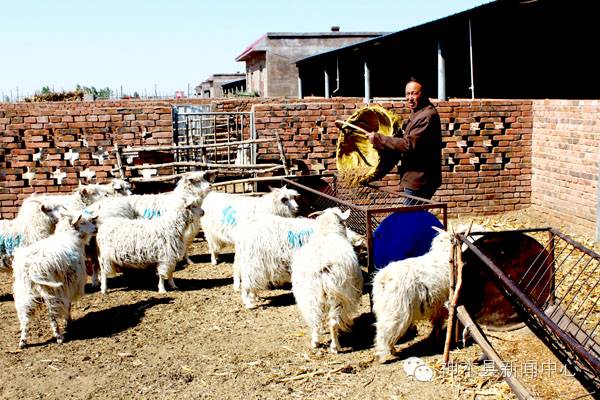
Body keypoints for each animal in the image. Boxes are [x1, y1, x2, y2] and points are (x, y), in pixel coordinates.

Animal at [11, 208, 98, 348]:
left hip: (25, 293)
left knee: (25, 317)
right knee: (52, 315)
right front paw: (68, 322)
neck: (69, 236)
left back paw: (23, 341)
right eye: (83, 222)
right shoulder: (67, 286)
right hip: (51, 291)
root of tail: (32, 268)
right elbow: (68, 306)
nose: (96, 228)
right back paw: (58, 336)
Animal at [290, 209, 360, 354]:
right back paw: (335, 346)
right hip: (338, 296)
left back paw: (315, 342)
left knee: (315, 319)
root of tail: (322, 265)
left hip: (309, 296)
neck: (327, 233)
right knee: (333, 322)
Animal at [372, 225, 452, 362]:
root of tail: (384, 277)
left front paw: (434, 337)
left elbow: (437, 322)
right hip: (396, 311)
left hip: (384, 309)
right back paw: (383, 355)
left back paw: (391, 350)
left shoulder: (438, 305)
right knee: (384, 331)